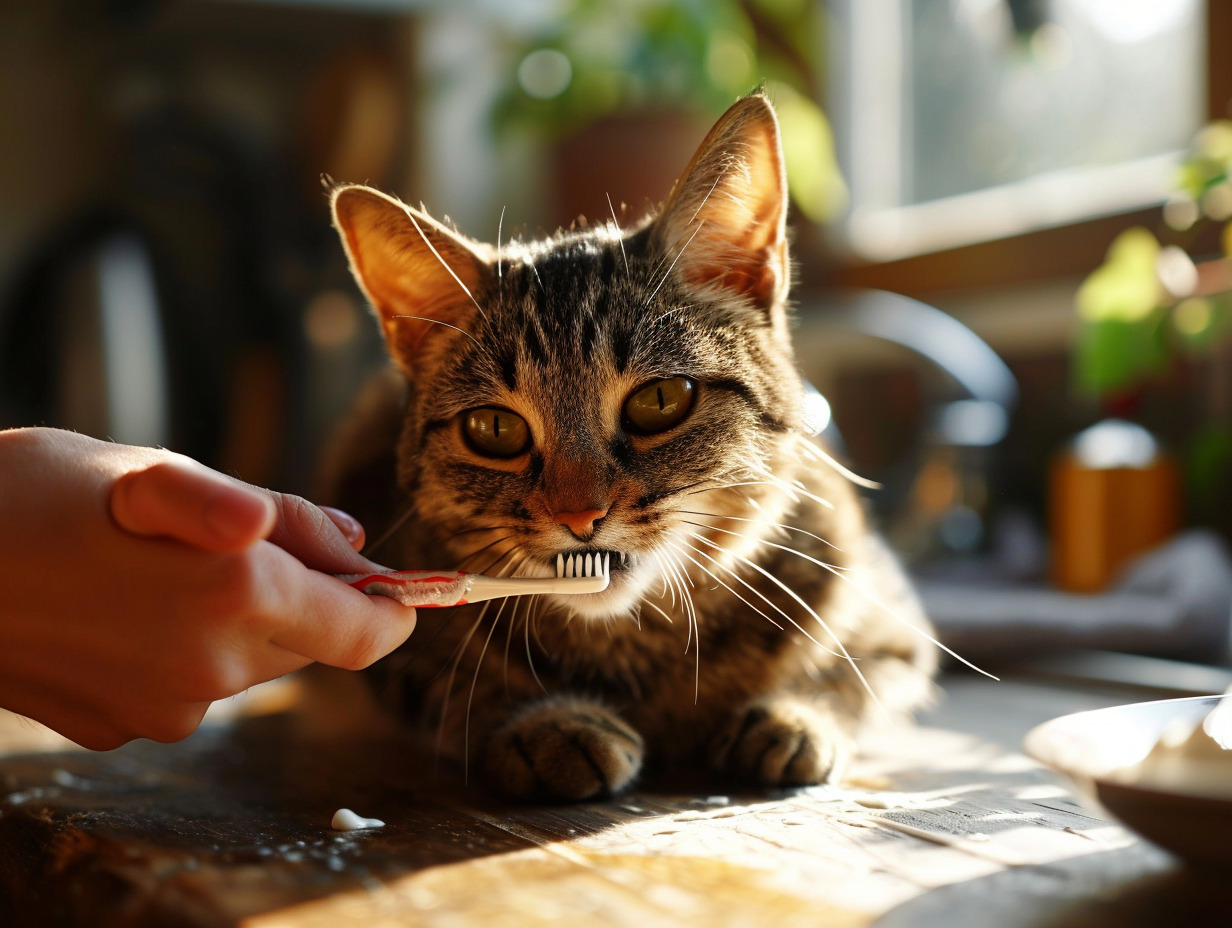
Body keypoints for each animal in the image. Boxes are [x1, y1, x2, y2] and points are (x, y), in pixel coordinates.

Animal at [322, 96, 936, 803]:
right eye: (495, 430)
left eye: (661, 400)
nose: (579, 516)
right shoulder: (398, 653)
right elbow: (453, 692)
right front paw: (550, 725)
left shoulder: (897, 628)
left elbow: (851, 680)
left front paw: (792, 716)